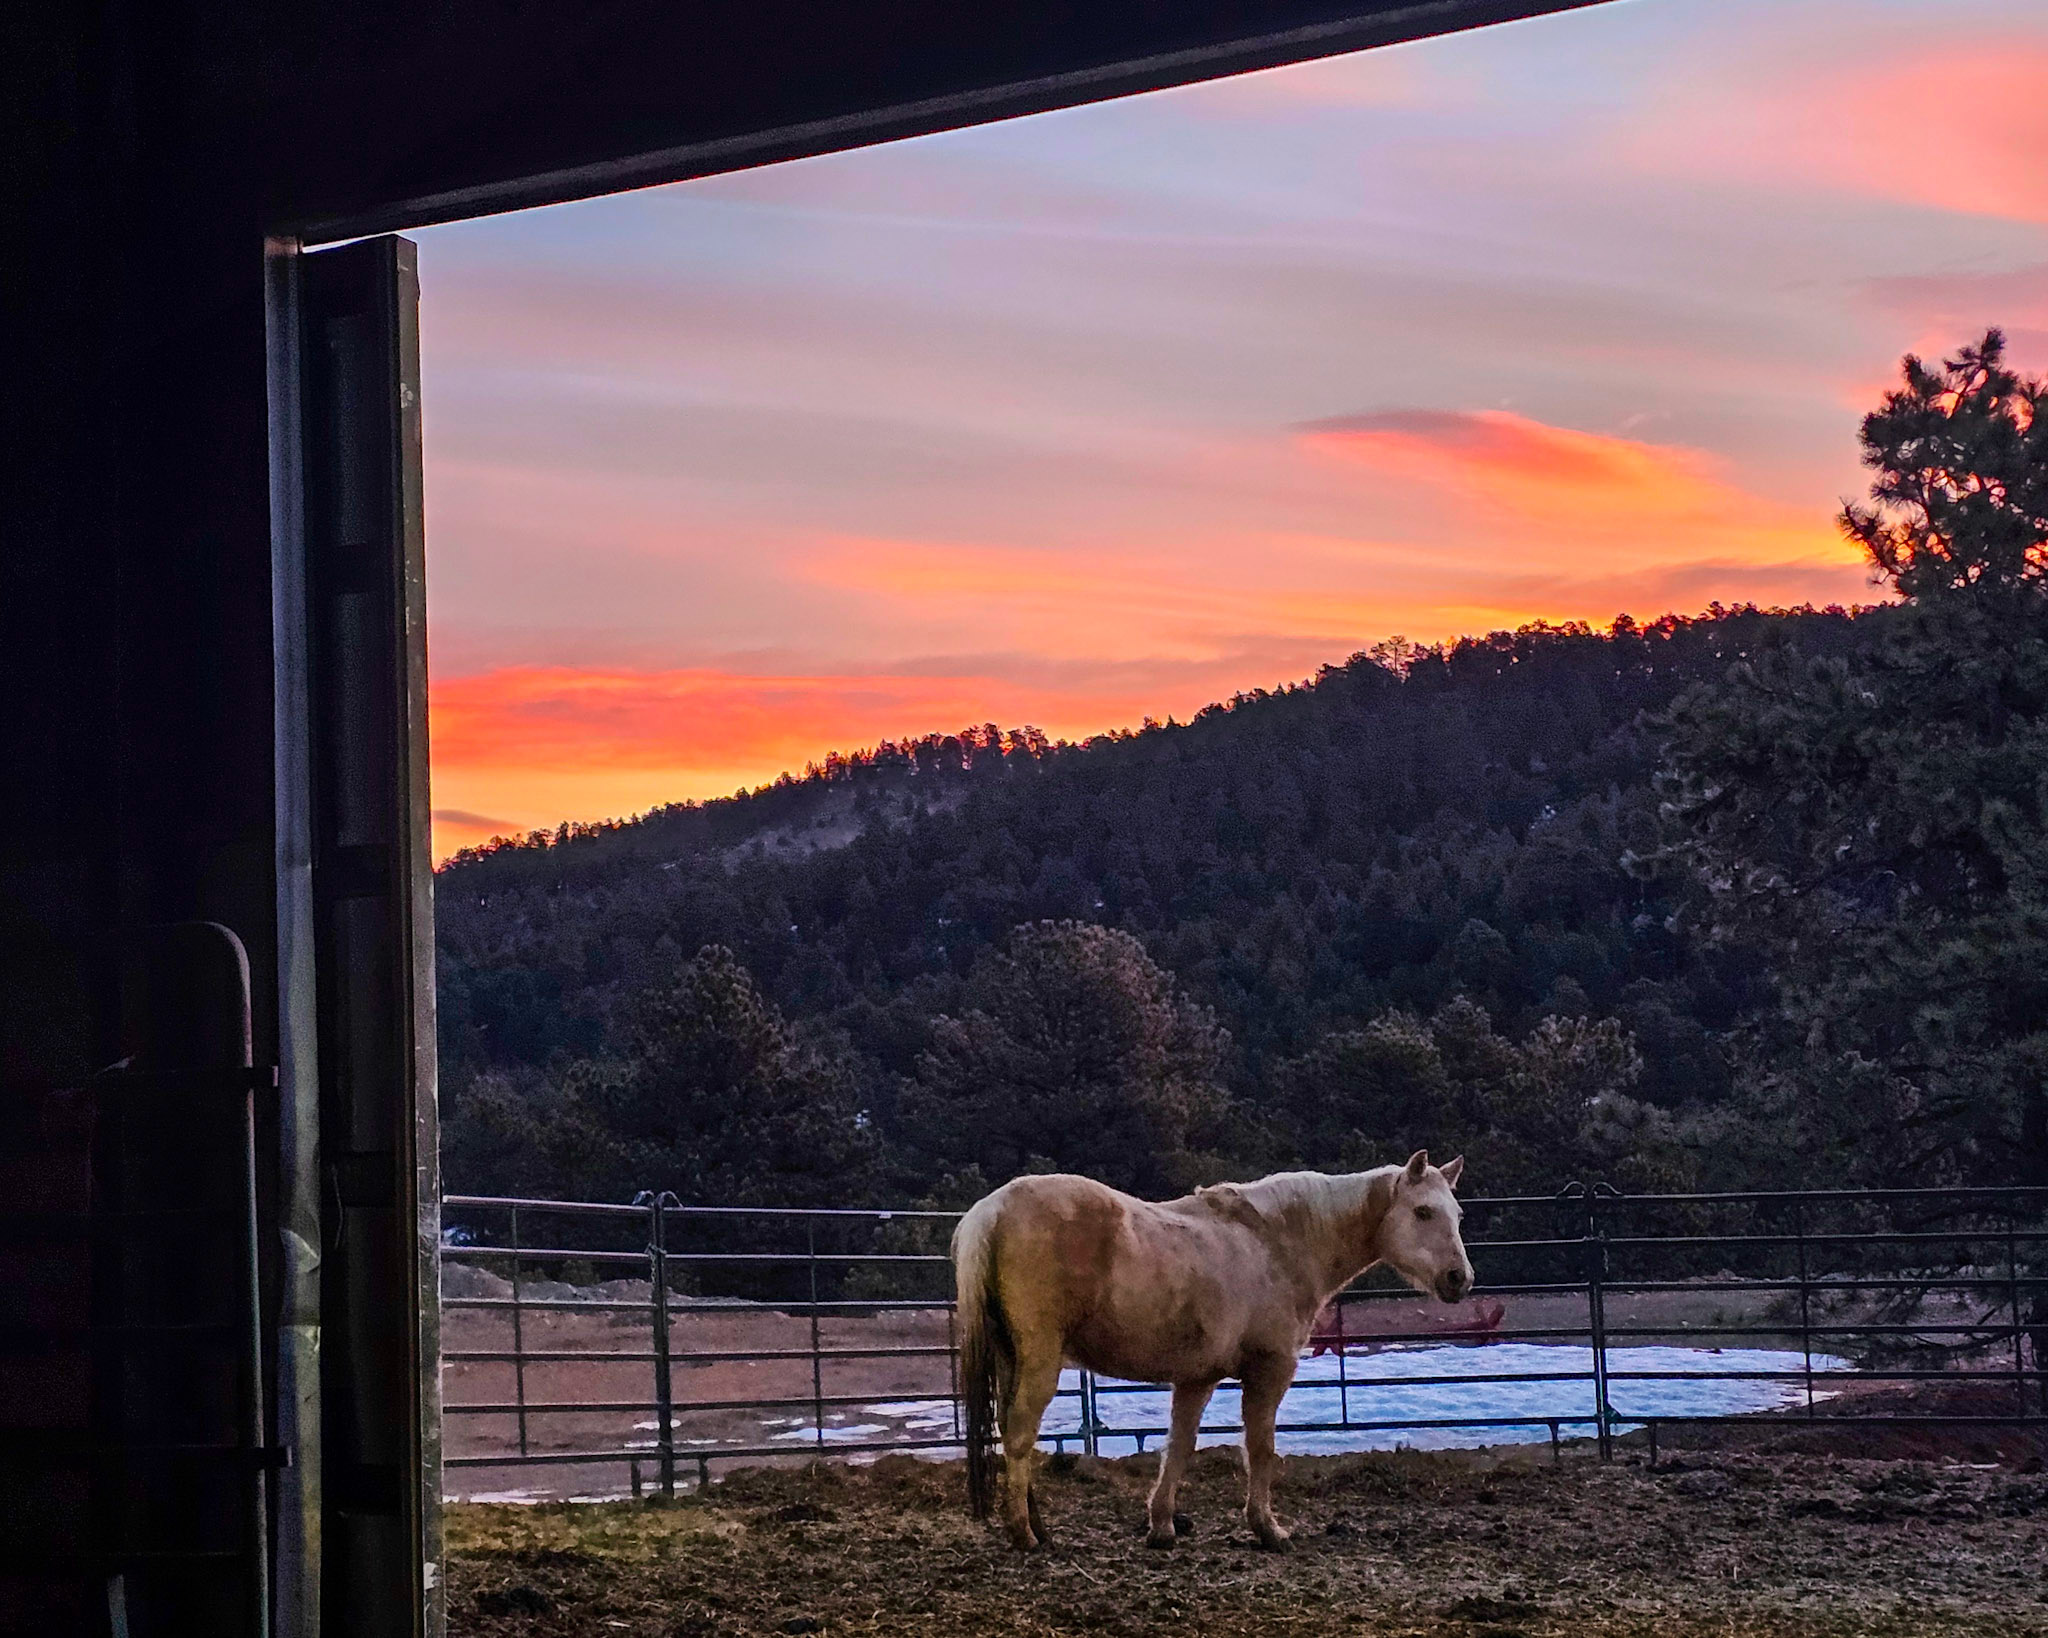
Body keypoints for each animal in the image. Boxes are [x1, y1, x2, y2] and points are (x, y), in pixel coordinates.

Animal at [950, 1154, 1466, 1547]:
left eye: (1458, 1215)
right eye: (1422, 1212)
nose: (1459, 1279)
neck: (1277, 1242)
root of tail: (994, 1208)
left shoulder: (1196, 1378)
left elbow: (1178, 1446)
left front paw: (1161, 1526)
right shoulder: (1270, 1369)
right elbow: (1260, 1448)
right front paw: (1267, 1529)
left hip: (1011, 1357)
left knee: (1009, 1430)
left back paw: (1037, 1526)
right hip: (1040, 1358)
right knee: (1020, 1433)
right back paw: (1024, 1534)